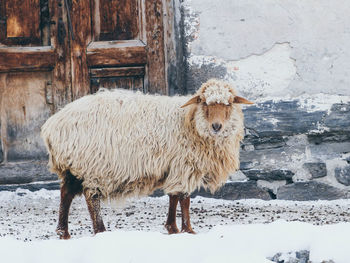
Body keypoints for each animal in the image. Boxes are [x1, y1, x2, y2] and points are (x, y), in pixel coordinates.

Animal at [41, 78, 253, 239]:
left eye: (229, 103)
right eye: (204, 102)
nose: (216, 126)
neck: (190, 122)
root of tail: (53, 125)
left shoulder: (175, 166)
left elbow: (174, 197)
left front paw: (172, 228)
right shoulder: (185, 165)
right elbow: (184, 199)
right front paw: (187, 230)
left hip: (73, 166)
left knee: (66, 193)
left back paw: (63, 232)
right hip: (92, 165)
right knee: (91, 197)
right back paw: (100, 230)